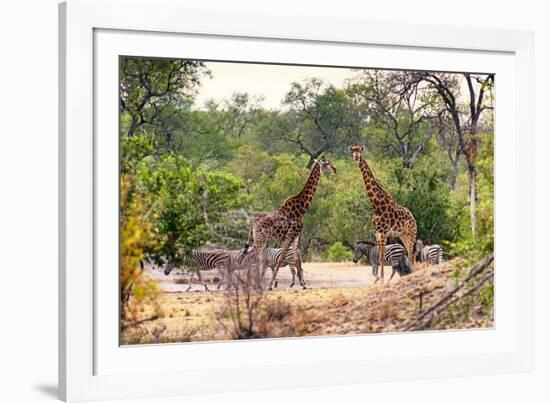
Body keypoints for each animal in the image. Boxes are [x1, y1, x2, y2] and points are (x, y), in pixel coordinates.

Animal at [245, 155, 336, 290]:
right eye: (327, 163)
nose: (335, 169)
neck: (302, 208)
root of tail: (253, 223)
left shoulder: (296, 236)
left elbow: (296, 257)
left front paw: (303, 284)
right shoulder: (291, 235)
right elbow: (282, 257)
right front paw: (271, 285)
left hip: (259, 239)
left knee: (254, 257)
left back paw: (254, 284)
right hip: (261, 239)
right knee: (250, 257)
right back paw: (251, 284)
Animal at [350, 145, 418, 284]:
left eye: (360, 150)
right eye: (352, 150)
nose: (356, 158)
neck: (377, 205)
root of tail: (413, 218)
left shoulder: (384, 232)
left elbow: (381, 256)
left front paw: (381, 280)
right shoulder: (377, 233)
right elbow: (379, 255)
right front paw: (380, 279)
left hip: (411, 233)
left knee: (411, 253)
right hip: (402, 235)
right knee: (410, 253)